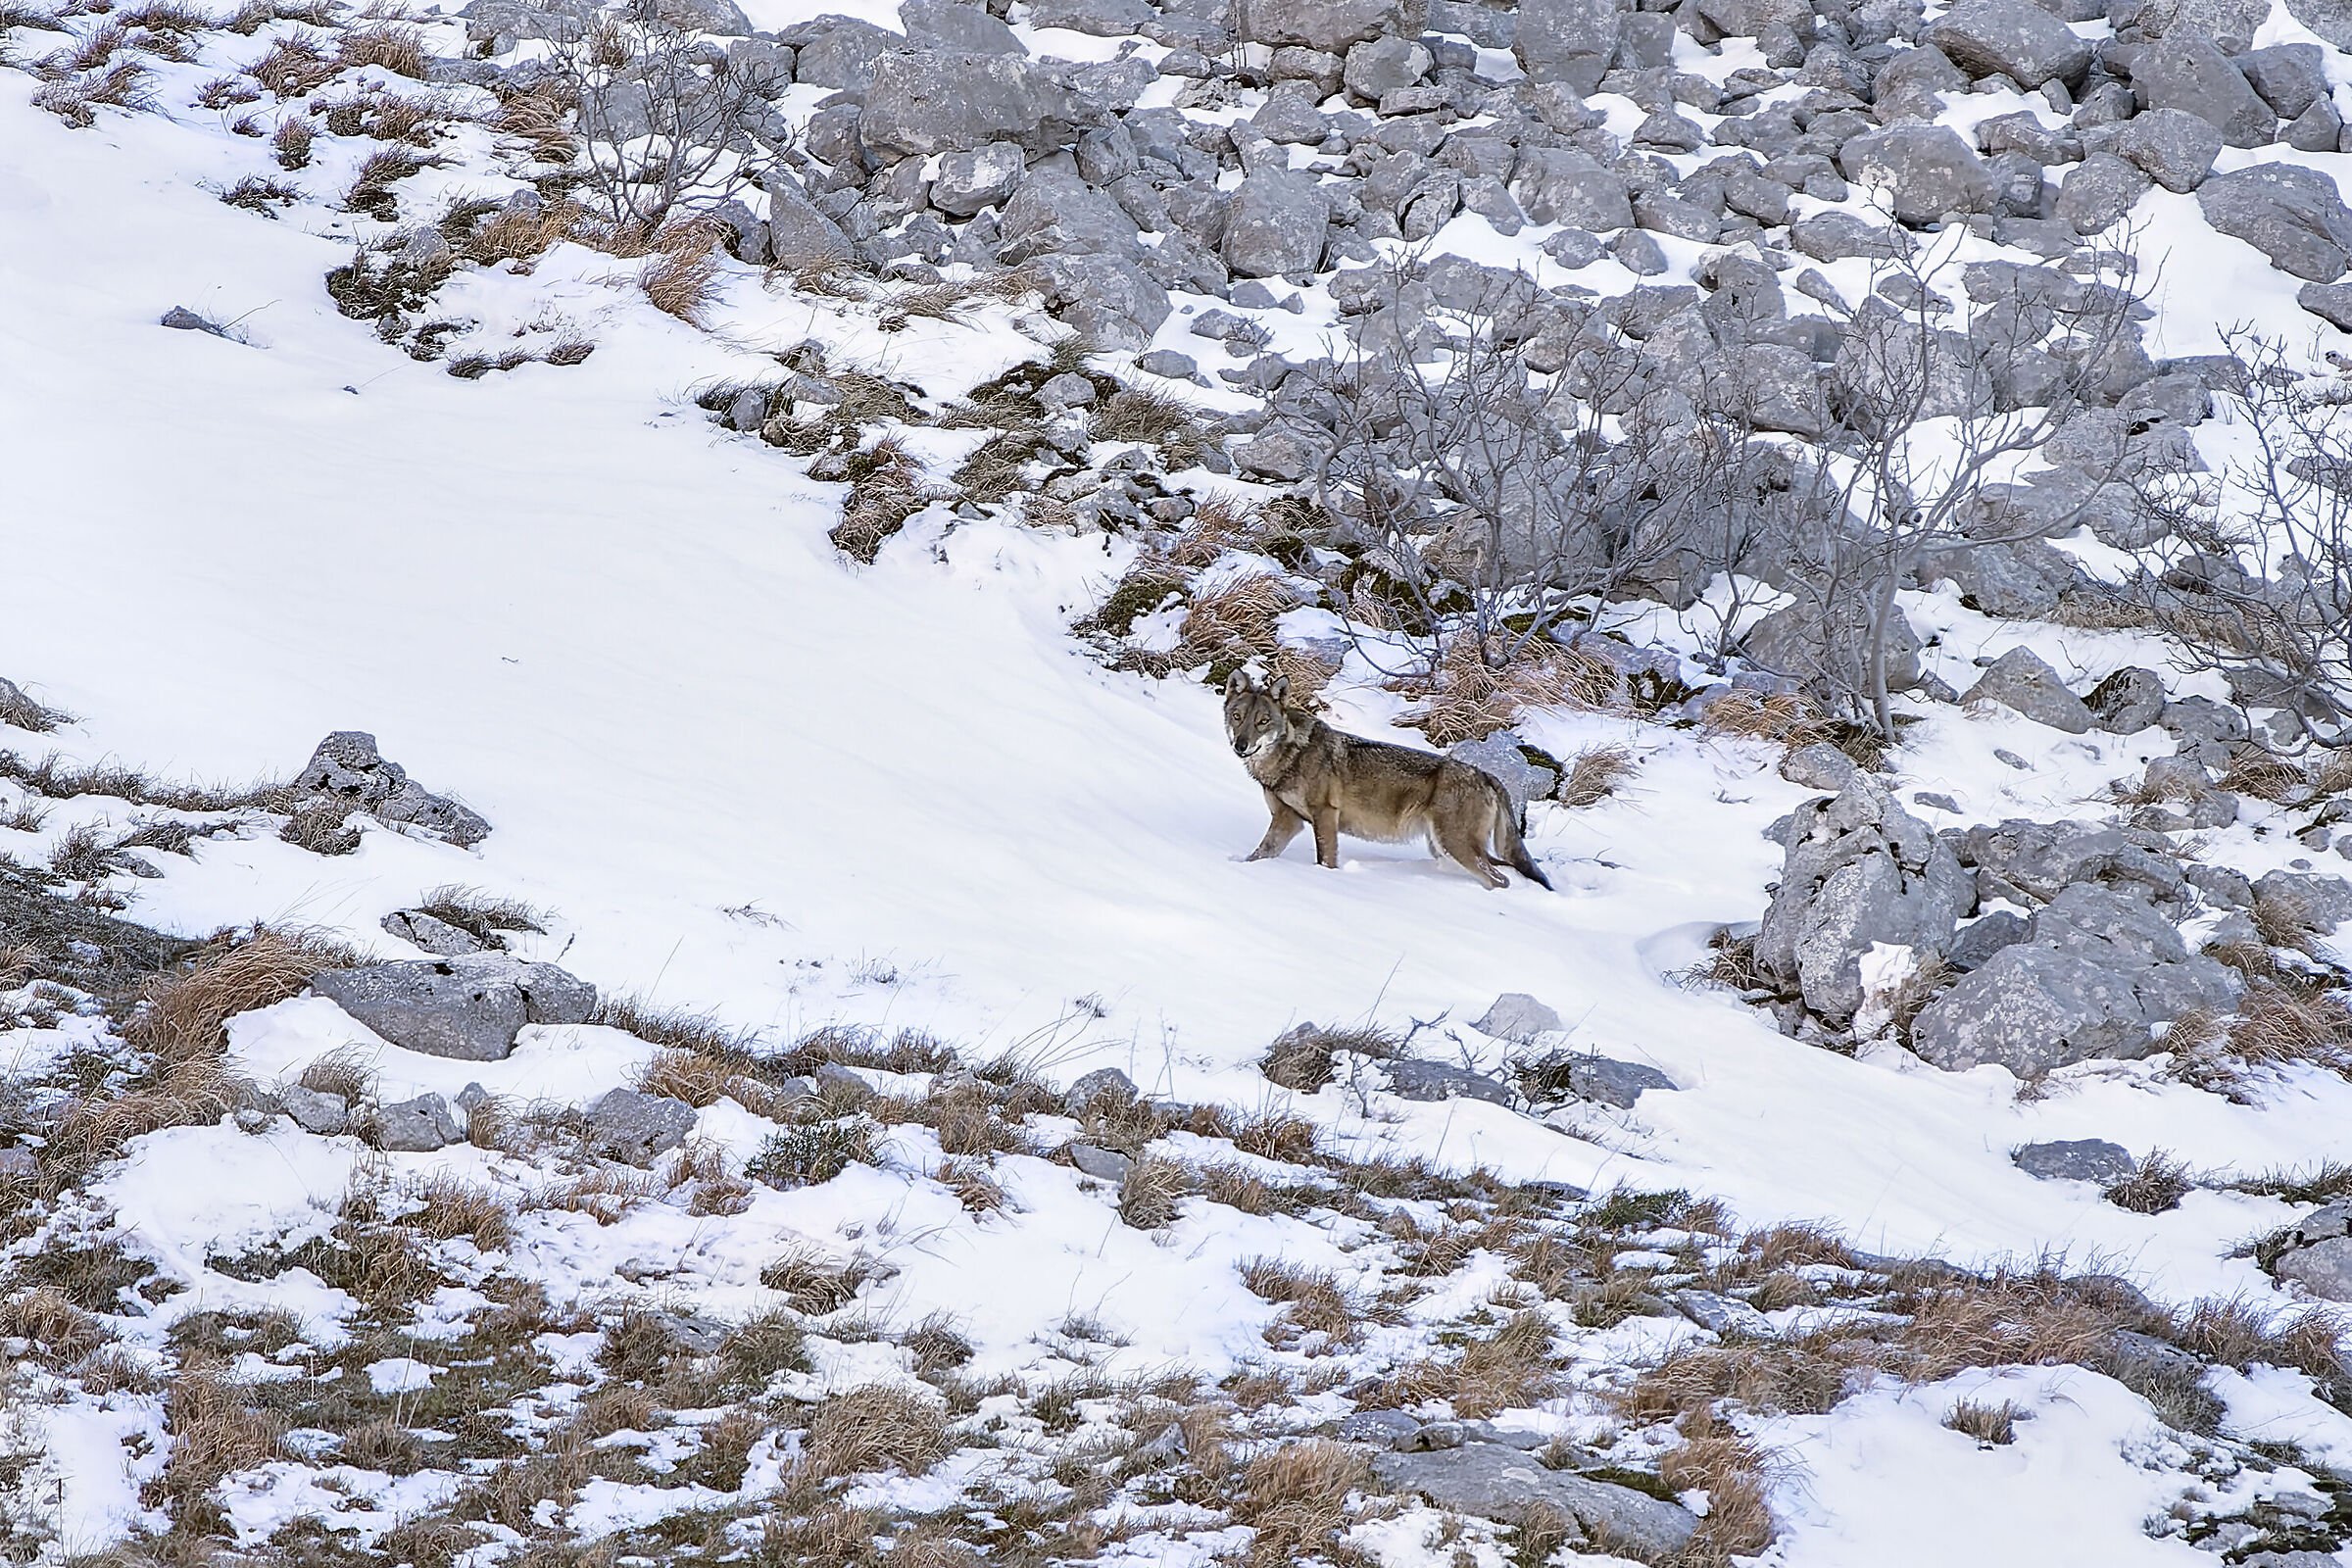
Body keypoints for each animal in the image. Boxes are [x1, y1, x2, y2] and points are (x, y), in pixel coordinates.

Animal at [1221, 671, 1551, 890]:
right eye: (1238, 717)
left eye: (1263, 722)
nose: (1241, 746)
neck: (1289, 756)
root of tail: (1486, 774)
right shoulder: (1287, 819)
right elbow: (1258, 855)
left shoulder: (1324, 816)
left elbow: (1325, 860)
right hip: (1445, 848)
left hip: (1455, 846)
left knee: (1500, 879)